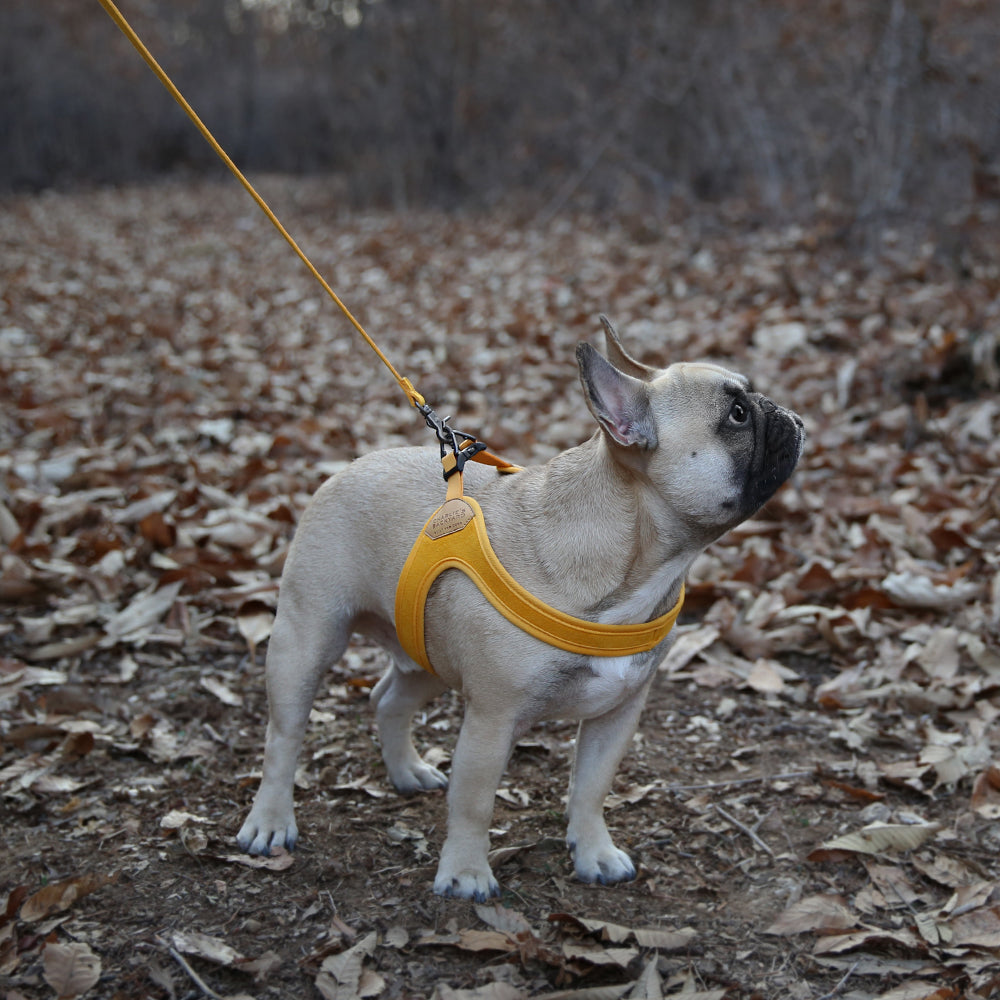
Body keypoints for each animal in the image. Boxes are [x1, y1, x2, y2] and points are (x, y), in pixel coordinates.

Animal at [236, 318, 804, 900]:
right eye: (736, 415)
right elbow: (474, 802)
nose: (785, 412)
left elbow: (591, 789)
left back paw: (407, 771)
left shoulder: (617, 714)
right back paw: (270, 821)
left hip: (428, 654)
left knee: (389, 699)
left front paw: (594, 852)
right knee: (283, 737)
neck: (634, 563)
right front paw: (466, 871)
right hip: (307, 640)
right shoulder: (493, 719)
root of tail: (348, 467)